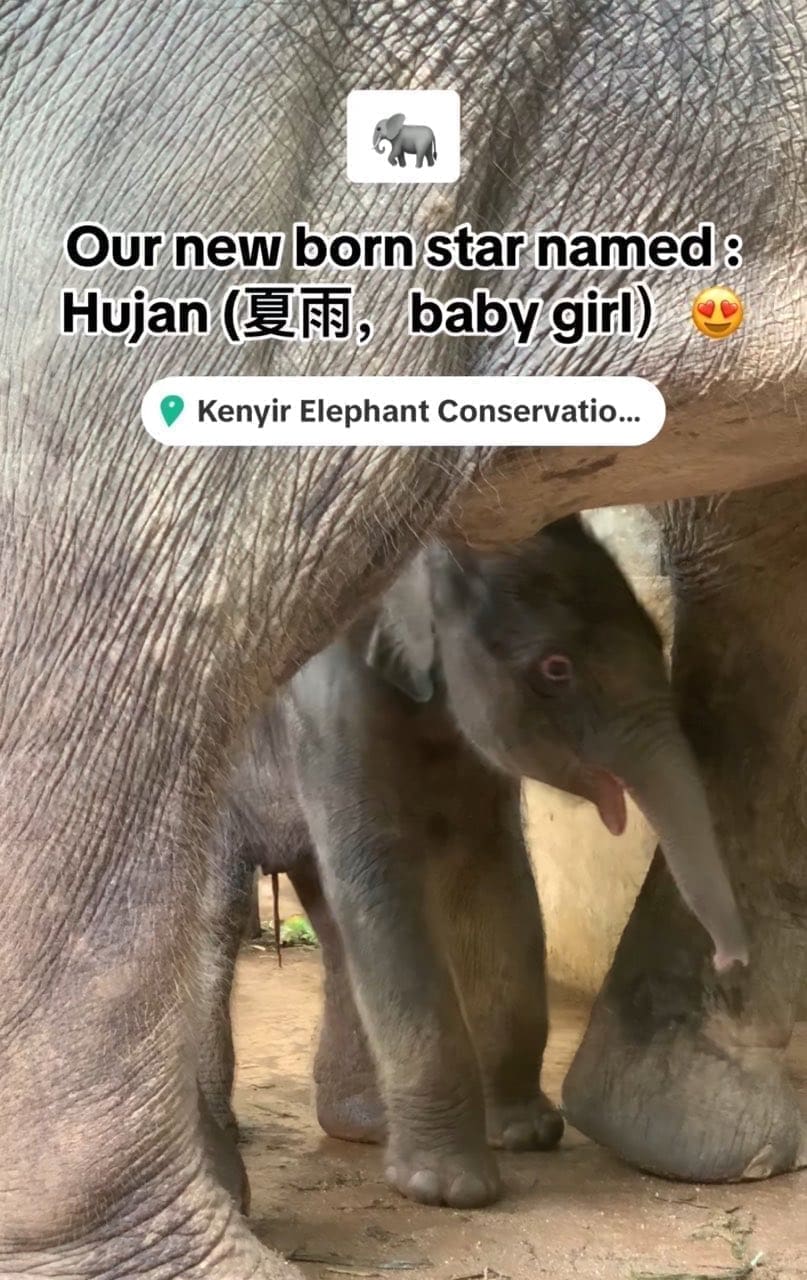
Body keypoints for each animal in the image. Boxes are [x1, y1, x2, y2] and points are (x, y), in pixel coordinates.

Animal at [203, 516, 745, 1209]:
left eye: (658, 638)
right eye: (556, 668)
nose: (730, 963)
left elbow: (493, 870)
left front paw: (526, 1134)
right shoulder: (327, 705)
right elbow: (383, 877)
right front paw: (448, 1189)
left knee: (332, 927)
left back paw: (363, 1127)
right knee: (218, 919)